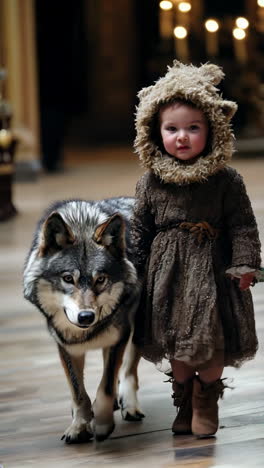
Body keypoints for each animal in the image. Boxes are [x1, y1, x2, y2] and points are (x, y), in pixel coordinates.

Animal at [23, 197, 144, 442]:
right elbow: (78, 392)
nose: (86, 316)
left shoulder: (117, 339)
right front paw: (79, 426)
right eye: (68, 279)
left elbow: (105, 388)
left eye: (101, 280)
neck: (82, 224)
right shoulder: (67, 346)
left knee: (129, 369)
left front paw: (103, 424)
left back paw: (129, 405)